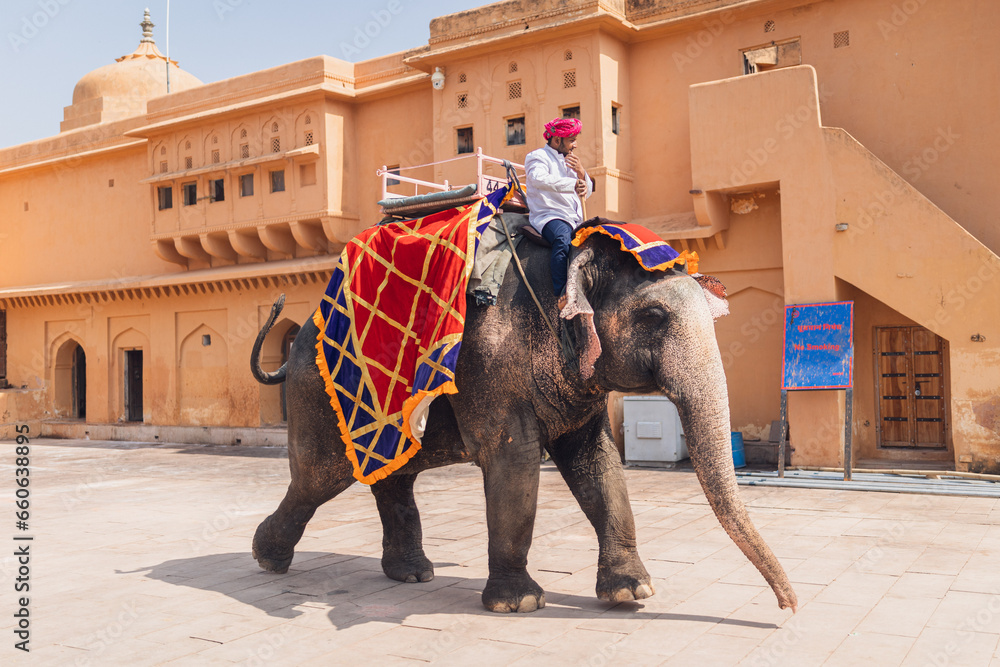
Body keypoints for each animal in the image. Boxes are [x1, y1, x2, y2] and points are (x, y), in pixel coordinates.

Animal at [249, 228, 798, 614]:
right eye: (654, 316)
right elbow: (514, 460)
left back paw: (413, 575)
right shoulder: (490, 367)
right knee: (319, 477)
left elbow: (598, 464)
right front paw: (520, 604)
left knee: (391, 478)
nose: (788, 607)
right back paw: (266, 559)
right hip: (319, 397)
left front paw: (632, 593)